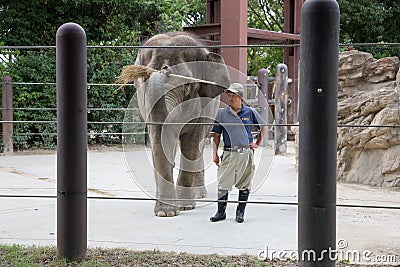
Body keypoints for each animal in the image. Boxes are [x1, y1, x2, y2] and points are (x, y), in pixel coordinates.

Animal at [119, 32, 230, 218]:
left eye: (187, 87)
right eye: (144, 80)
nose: (164, 69)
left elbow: (191, 144)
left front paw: (185, 207)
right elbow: (160, 143)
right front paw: (165, 213)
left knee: (199, 146)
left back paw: (198, 195)